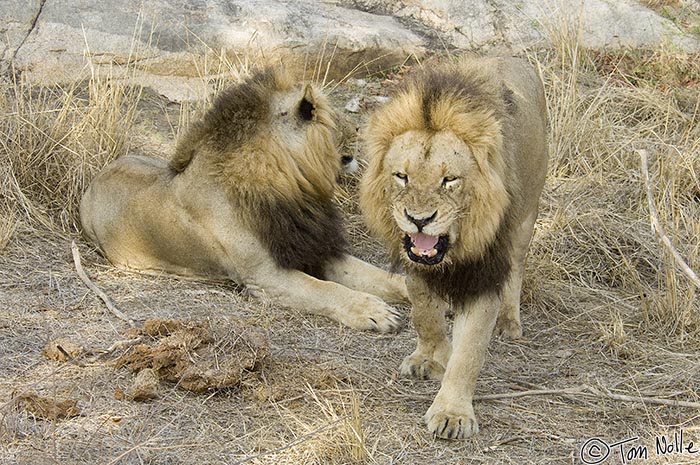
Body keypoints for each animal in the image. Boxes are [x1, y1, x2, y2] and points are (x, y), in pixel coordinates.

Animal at [80, 67, 410, 332]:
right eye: (327, 115)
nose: (358, 128)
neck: (289, 189)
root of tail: (98, 176)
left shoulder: (314, 249)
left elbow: (382, 276)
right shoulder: (265, 276)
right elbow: (325, 289)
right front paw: (373, 311)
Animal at [360, 56, 548, 436]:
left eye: (449, 180)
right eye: (401, 176)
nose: (419, 219)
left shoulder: (483, 275)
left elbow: (469, 352)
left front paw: (452, 413)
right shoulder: (415, 263)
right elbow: (424, 314)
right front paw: (430, 358)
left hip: (525, 219)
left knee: (516, 269)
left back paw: (509, 321)